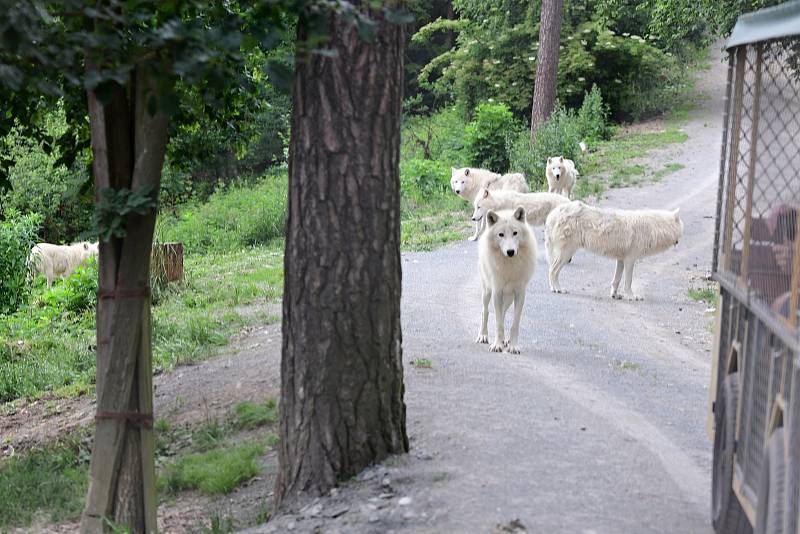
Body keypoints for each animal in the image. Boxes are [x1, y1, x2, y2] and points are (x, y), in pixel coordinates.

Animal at [476, 209, 536, 356]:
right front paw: (497, 345)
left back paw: (504, 340)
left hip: (508, 298)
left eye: (515, 233)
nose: (510, 252)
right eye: (501, 235)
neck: (509, 266)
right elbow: (498, 323)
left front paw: (513, 346)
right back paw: (483, 336)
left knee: (502, 313)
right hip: (487, 292)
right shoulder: (497, 292)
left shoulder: (520, 294)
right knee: (485, 311)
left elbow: (514, 323)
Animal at [548, 202, 684, 302]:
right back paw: (558, 289)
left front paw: (615, 295)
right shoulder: (630, 260)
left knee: (551, 270)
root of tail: (552, 214)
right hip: (567, 254)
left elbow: (616, 280)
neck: (654, 228)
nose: (680, 241)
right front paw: (631, 296)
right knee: (552, 271)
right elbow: (628, 281)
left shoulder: (621, 260)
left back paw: (554, 288)